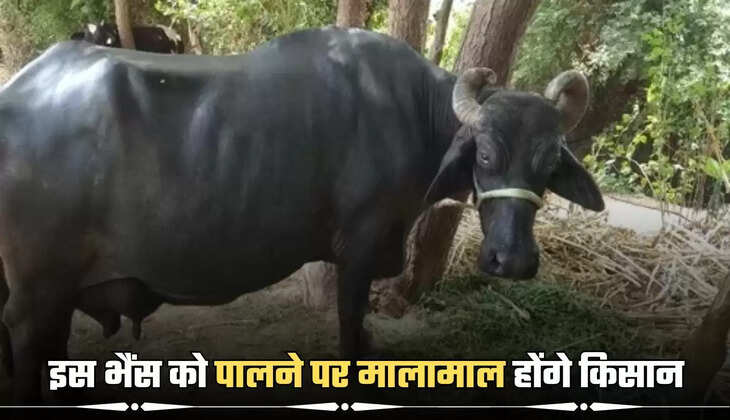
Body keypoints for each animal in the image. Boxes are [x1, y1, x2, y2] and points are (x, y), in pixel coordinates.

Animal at [0, 27, 604, 401]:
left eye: (549, 162)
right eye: (484, 154)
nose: (512, 260)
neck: (412, 112)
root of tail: (17, 93)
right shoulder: (359, 249)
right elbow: (351, 327)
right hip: (40, 294)